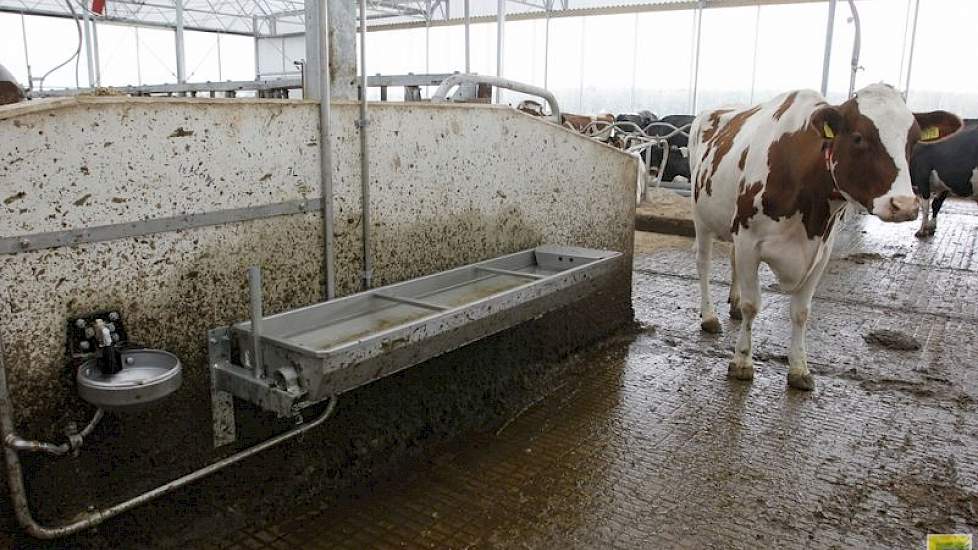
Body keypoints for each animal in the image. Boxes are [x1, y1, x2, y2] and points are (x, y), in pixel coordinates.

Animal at [688, 83, 960, 392]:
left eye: (912, 141)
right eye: (858, 137)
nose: (903, 205)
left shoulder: (820, 251)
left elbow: (801, 312)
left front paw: (799, 368)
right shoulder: (749, 242)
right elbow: (752, 304)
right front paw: (742, 361)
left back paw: (731, 303)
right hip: (702, 217)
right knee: (704, 263)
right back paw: (709, 316)